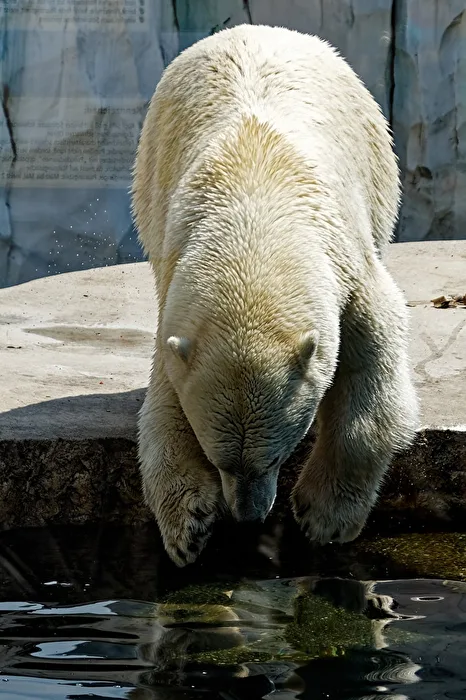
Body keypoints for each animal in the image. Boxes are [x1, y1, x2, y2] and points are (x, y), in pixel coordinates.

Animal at [131, 24, 418, 567]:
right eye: (219, 459)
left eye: (279, 456)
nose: (249, 517)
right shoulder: (174, 297)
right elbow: (164, 399)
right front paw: (187, 527)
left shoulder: (347, 266)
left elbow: (372, 368)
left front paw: (325, 517)